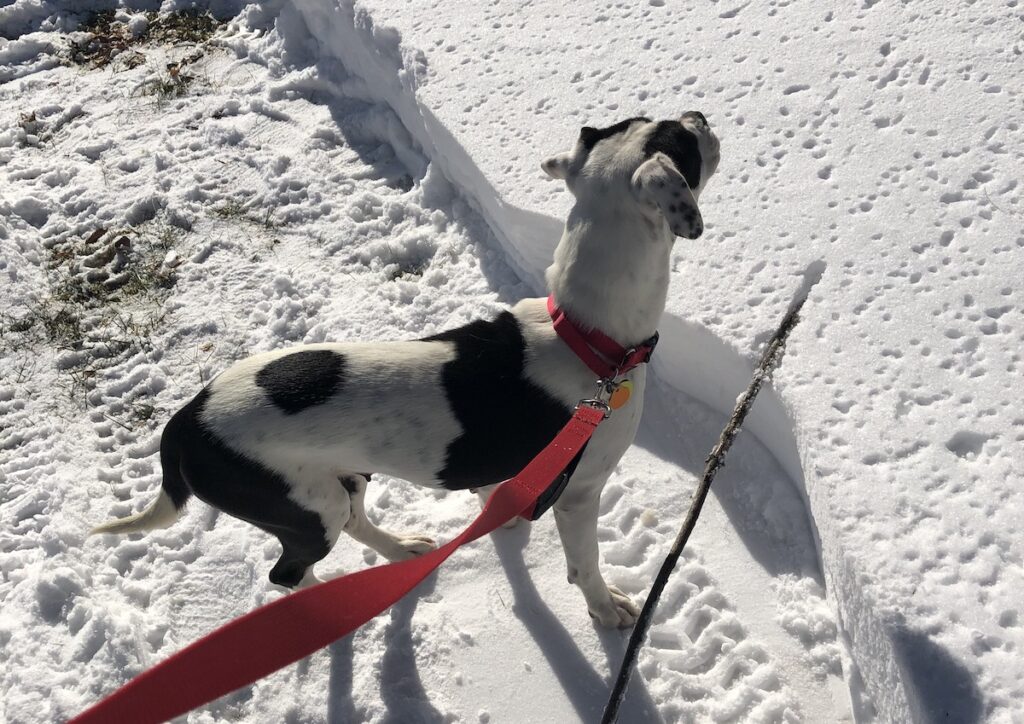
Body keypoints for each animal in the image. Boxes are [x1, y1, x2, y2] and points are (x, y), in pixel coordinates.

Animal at [94, 113, 720, 626]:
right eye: (683, 140)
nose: (700, 115)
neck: (586, 336)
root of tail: (184, 423)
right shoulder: (581, 492)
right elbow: (586, 565)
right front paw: (606, 608)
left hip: (340, 479)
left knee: (353, 522)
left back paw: (401, 553)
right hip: (305, 511)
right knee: (289, 574)